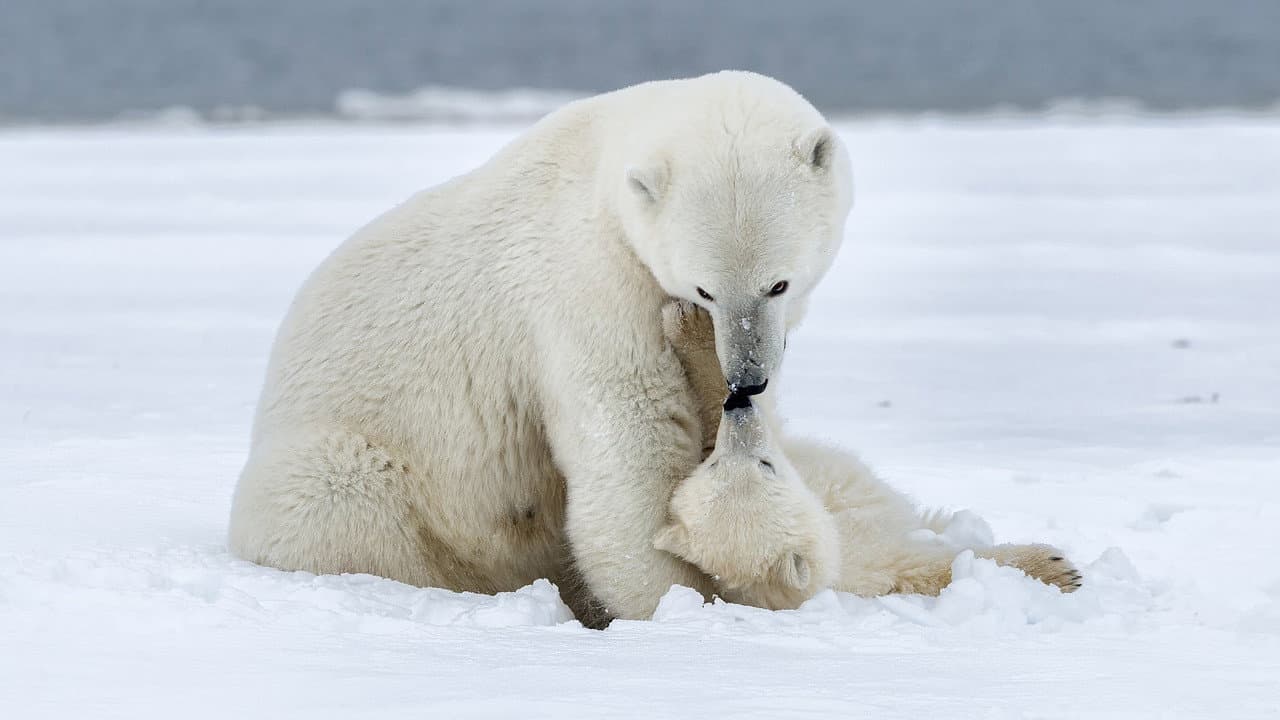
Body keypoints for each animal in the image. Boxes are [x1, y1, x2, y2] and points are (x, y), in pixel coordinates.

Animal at [228, 71, 854, 627]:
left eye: (779, 284)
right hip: (349, 468)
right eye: (705, 289)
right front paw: (679, 599)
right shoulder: (591, 286)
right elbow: (629, 447)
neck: (602, 170)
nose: (746, 379)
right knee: (337, 497)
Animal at [655, 300, 1081, 608]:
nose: (738, 405)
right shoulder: (872, 553)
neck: (833, 525)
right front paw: (1057, 569)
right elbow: (935, 567)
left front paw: (692, 323)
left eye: (712, 463)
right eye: (767, 466)